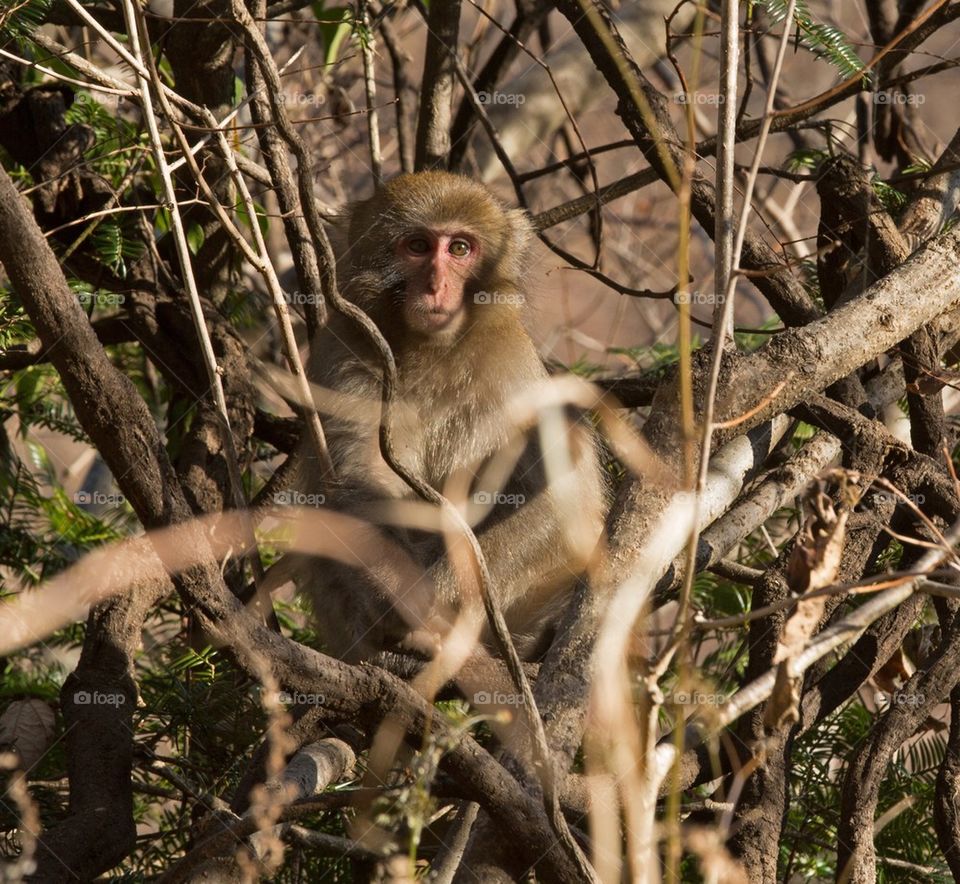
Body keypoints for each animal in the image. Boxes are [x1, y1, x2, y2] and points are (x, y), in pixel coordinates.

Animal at [294, 173, 608, 668]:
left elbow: (560, 498)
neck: (432, 349)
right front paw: (398, 599)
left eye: (460, 248)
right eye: (418, 246)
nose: (436, 285)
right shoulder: (340, 350)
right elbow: (356, 480)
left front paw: (426, 603)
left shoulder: (513, 368)